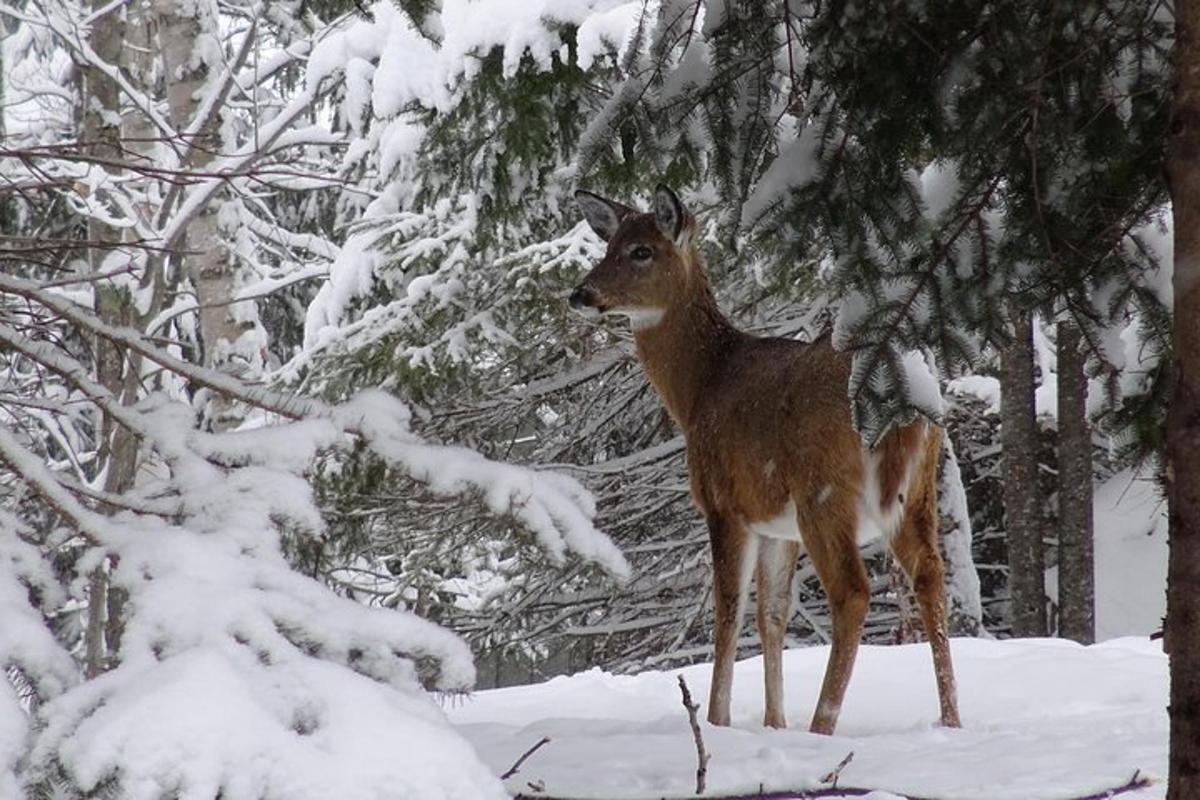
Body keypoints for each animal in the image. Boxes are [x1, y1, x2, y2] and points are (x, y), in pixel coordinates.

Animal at [566, 184, 960, 734]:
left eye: (642, 250)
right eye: (608, 246)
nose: (580, 295)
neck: (700, 388)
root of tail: (903, 396)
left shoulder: (724, 502)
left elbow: (728, 612)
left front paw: (717, 720)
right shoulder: (777, 523)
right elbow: (772, 614)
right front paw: (775, 723)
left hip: (823, 489)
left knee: (853, 592)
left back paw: (823, 726)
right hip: (917, 488)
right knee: (930, 575)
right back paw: (951, 721)